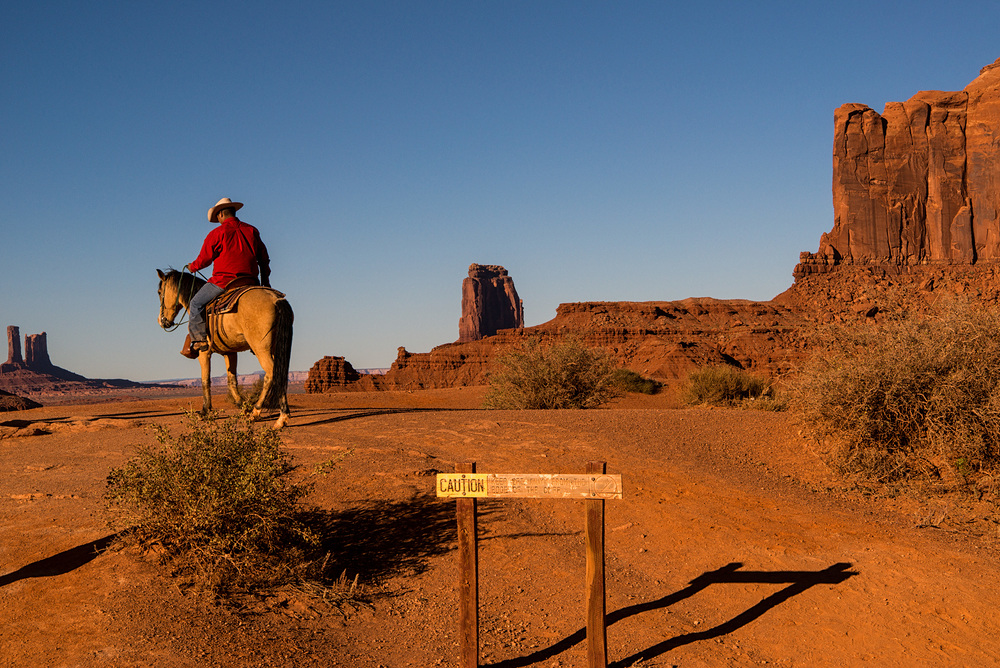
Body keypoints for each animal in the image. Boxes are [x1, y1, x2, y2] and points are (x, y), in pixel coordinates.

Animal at [154, 270, 292, 428]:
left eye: (159, 292)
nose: (161, 321)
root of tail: (276, 300)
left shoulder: (204, 352)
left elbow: (205, 380)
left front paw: (204, 411)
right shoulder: (230, 352)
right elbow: (232, 382)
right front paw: (243, 407)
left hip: (261, 349)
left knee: (272, 374)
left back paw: (266, 414)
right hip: (275, 348)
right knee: (280, 373)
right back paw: (273, 414)